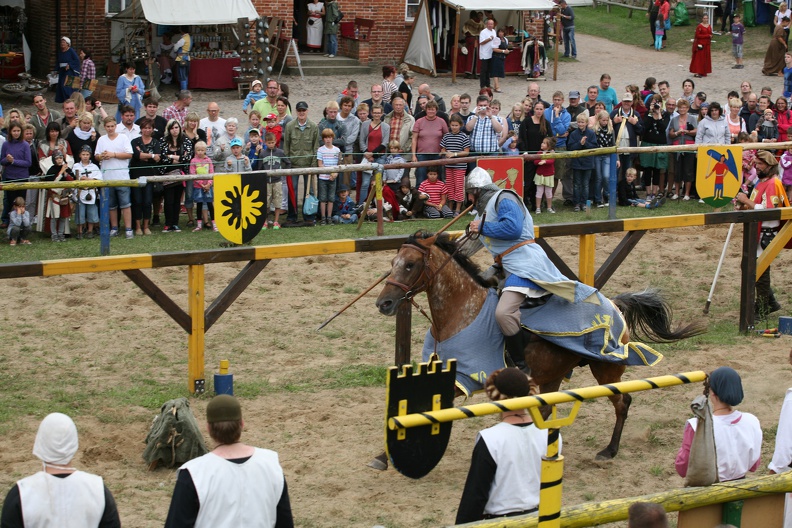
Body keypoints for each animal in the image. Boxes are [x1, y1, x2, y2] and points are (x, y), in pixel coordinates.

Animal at [376, 231, 704, 462]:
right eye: (391, 264)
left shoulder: (466, 377)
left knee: (623, 402)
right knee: (547, 409)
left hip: (605, 370)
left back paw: (609, 450)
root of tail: (614, 304)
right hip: (552, 374)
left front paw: (388, 455)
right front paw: (386, 454)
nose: (384, 303)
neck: (461, 311)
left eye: (410, 265)